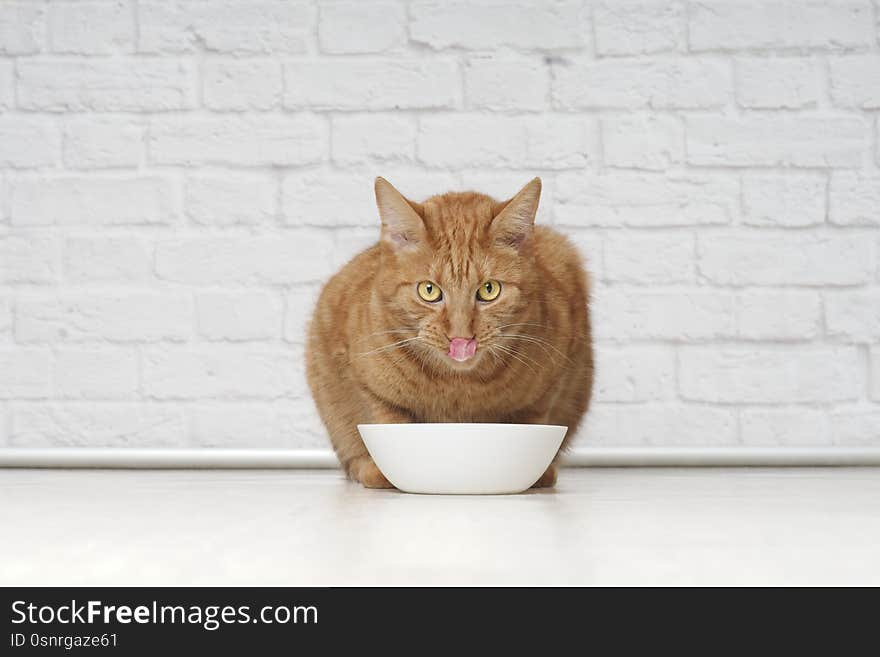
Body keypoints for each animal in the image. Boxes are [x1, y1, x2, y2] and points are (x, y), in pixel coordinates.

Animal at [306, 178, 596, 486]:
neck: (456, 387)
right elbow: (385, 418)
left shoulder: (554, 380)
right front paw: (379, 471)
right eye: (429, 290)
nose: (461, 338)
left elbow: (533, 419)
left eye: (489, 290)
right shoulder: (359, 377)